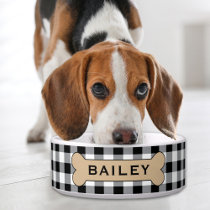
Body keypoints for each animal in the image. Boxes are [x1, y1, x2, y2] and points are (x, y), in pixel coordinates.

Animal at [27, 0, 182, 144]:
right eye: (98, 88)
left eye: (143, 88)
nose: (126, 136)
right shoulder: (54, 60)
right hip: (40, 50)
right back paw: (38, 129)